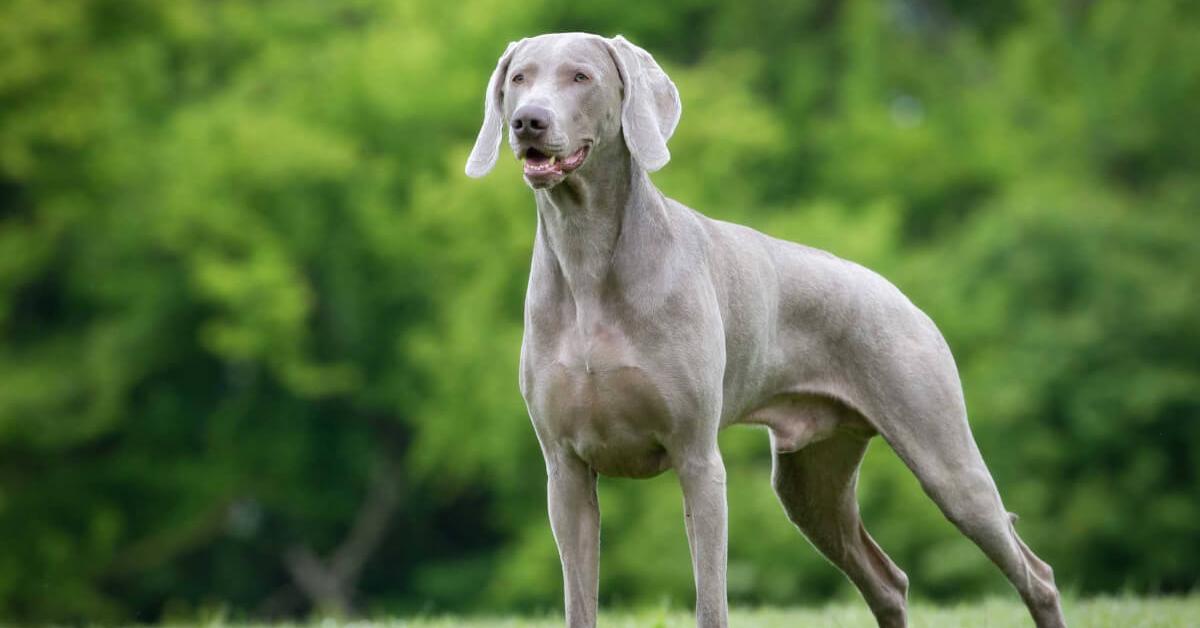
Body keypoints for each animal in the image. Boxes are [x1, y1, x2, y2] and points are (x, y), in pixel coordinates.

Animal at [463, 34, 1065, 628]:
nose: (528, 121)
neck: (586, 261)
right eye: (518, 78)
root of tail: (899, 295)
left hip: (943, 457)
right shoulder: (565, 471)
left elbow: (711, 601)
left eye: (581, 77)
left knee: (1033, 572)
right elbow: (579, 601)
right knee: (887, 581)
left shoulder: (698, 459)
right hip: (809, 481)